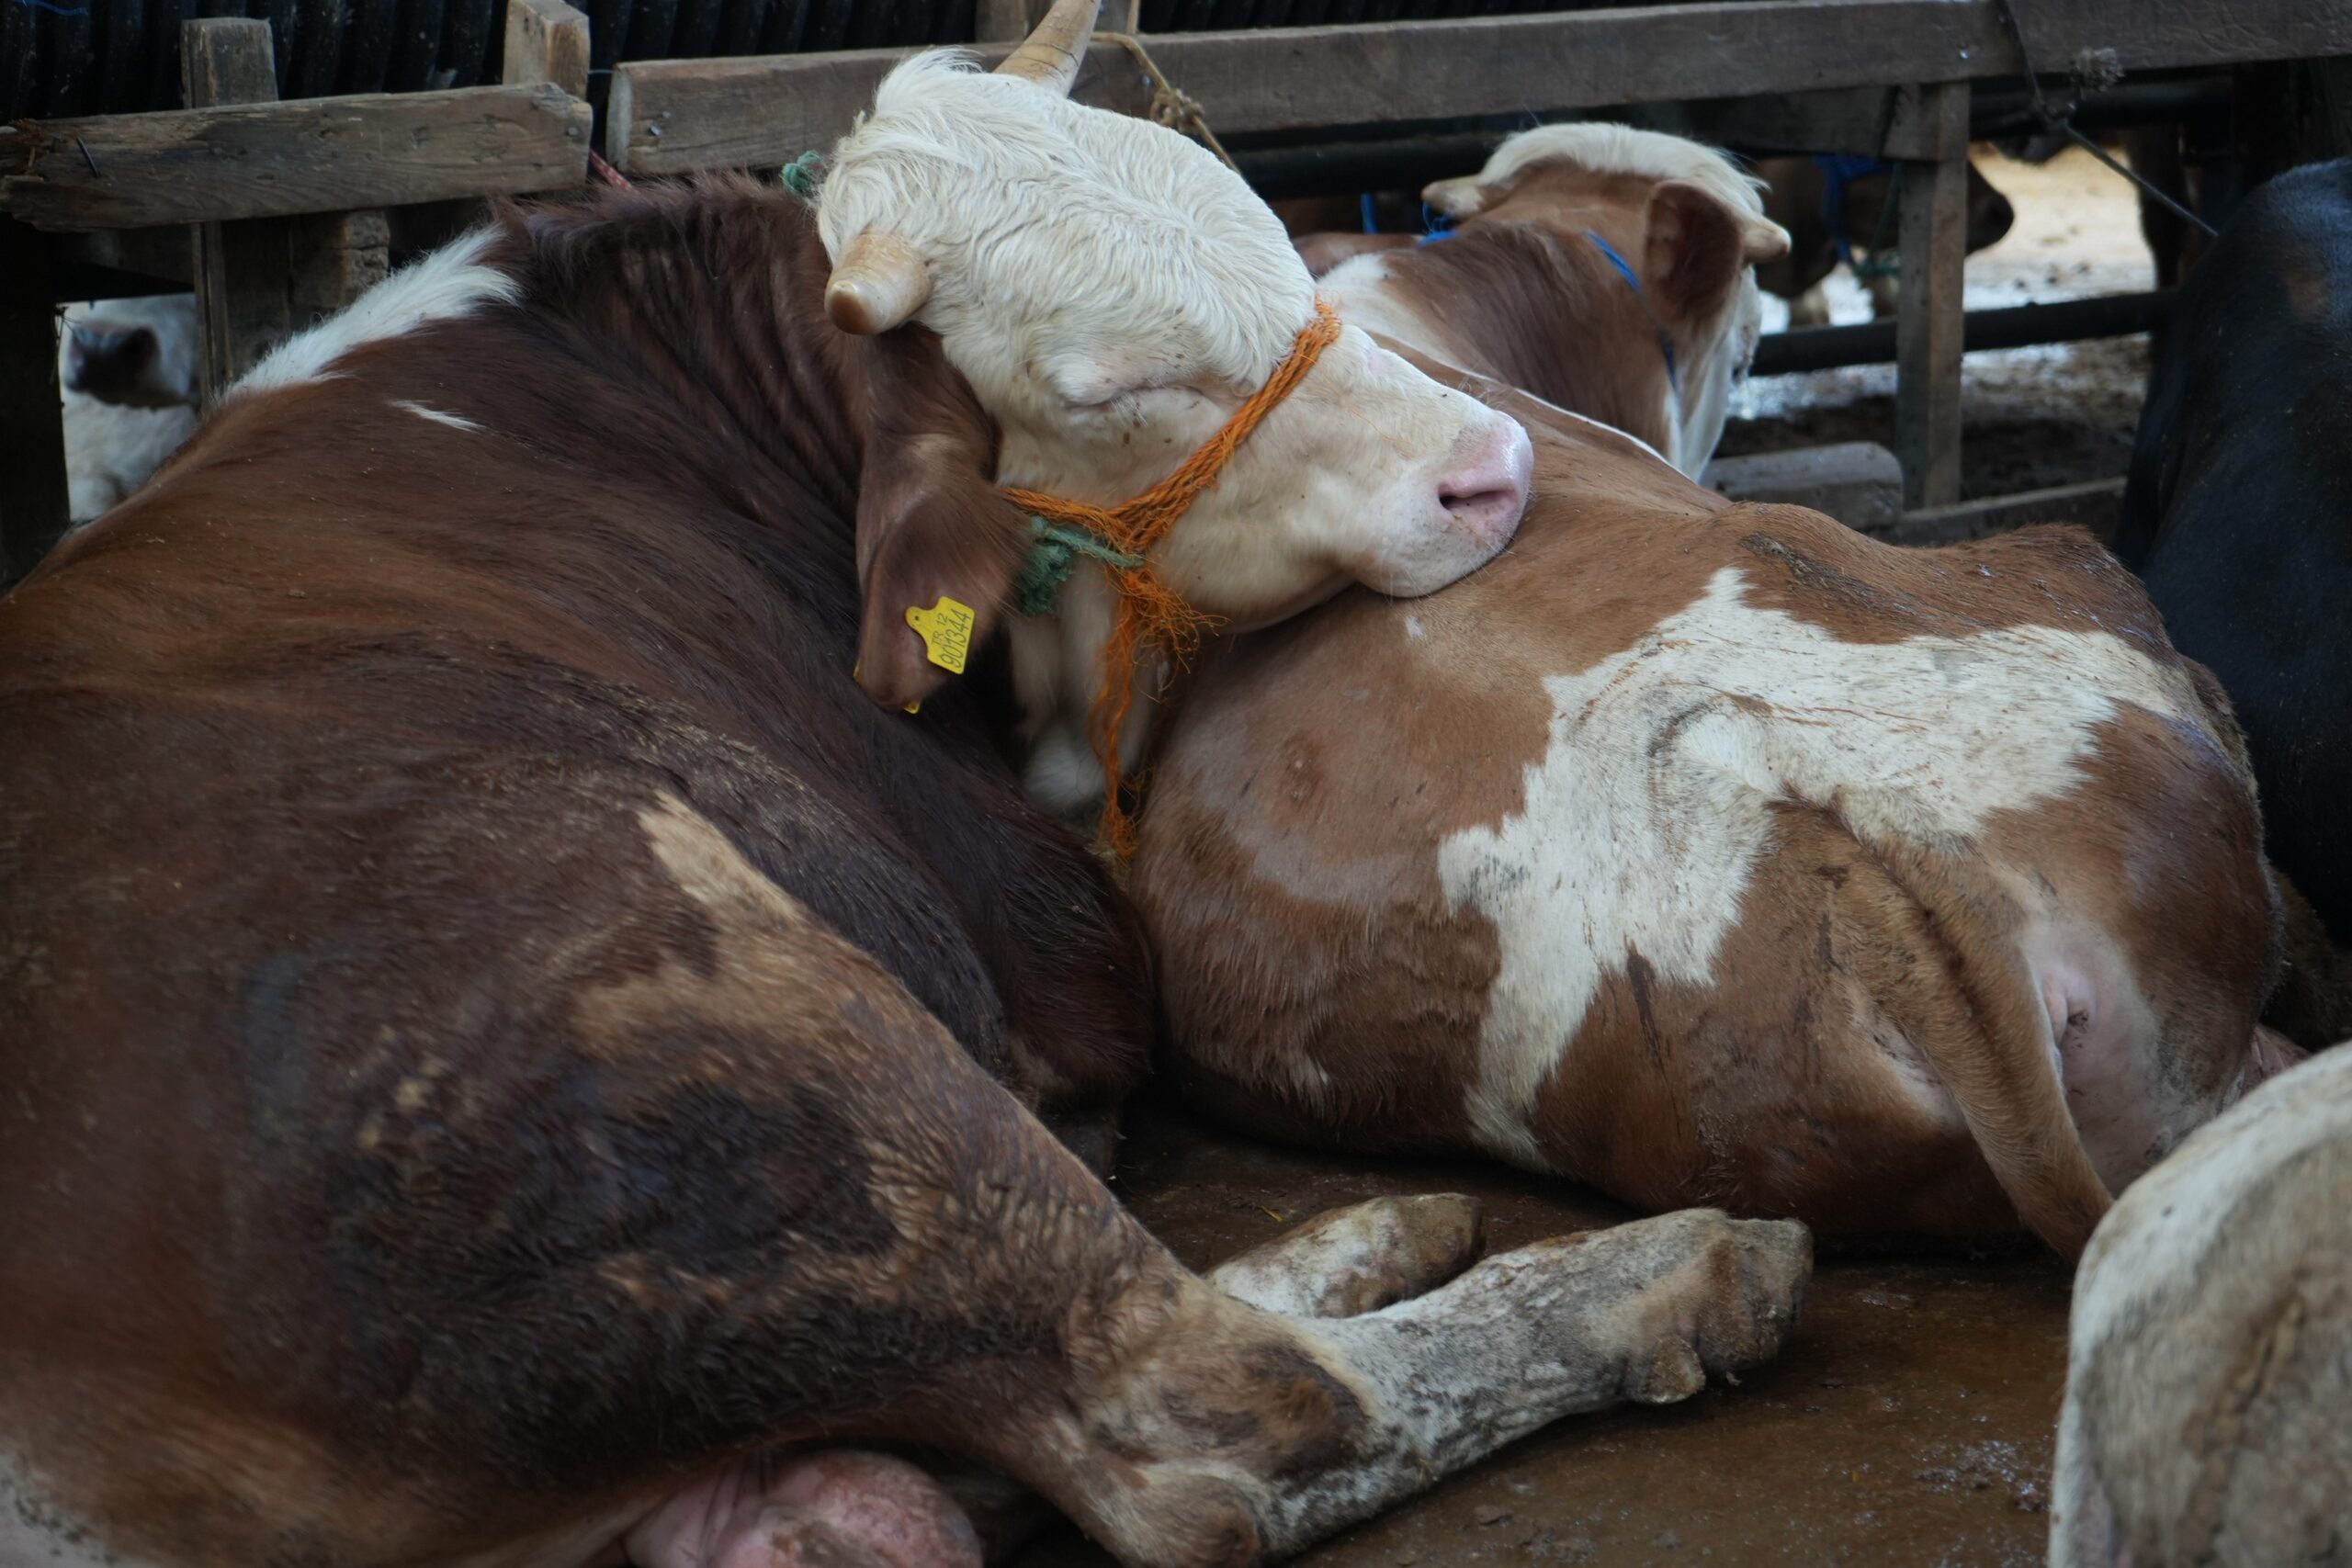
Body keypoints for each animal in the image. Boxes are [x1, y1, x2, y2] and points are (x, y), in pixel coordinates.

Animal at [0, 6, 1815, 1561]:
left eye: (1261, 229)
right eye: (1101, 385)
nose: (1489, 470)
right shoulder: (1050, 935)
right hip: (737, 1005)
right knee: (1192, 1417)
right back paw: (1671, 1270)